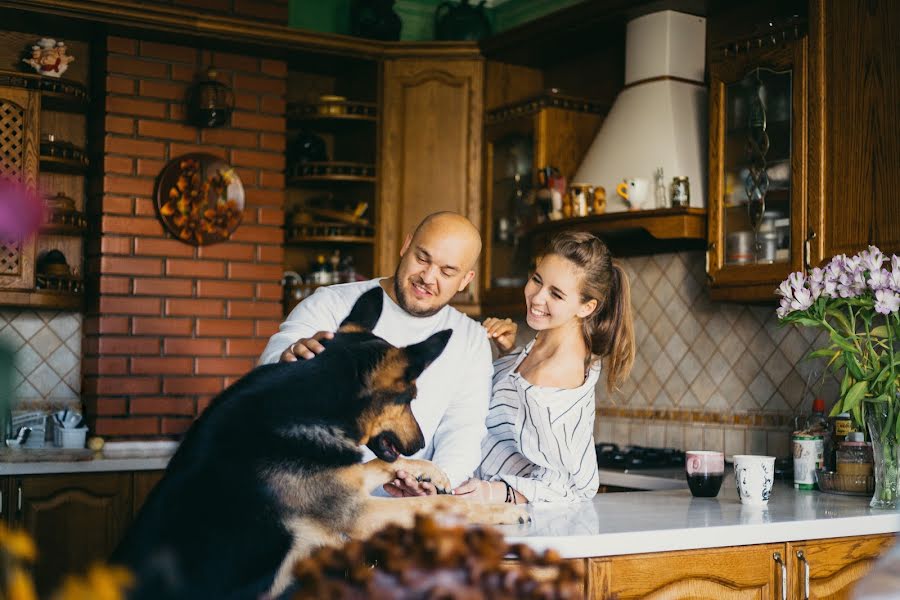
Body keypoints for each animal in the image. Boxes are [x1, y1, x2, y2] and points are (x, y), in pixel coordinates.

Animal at [110, 288, 528, 596]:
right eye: (410, 398)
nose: (420, 442)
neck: (312, 402)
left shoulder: (344, 479)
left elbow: (380, 463)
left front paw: (430, 471)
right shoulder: (359, 513)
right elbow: (448, 504)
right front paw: (502, 512)